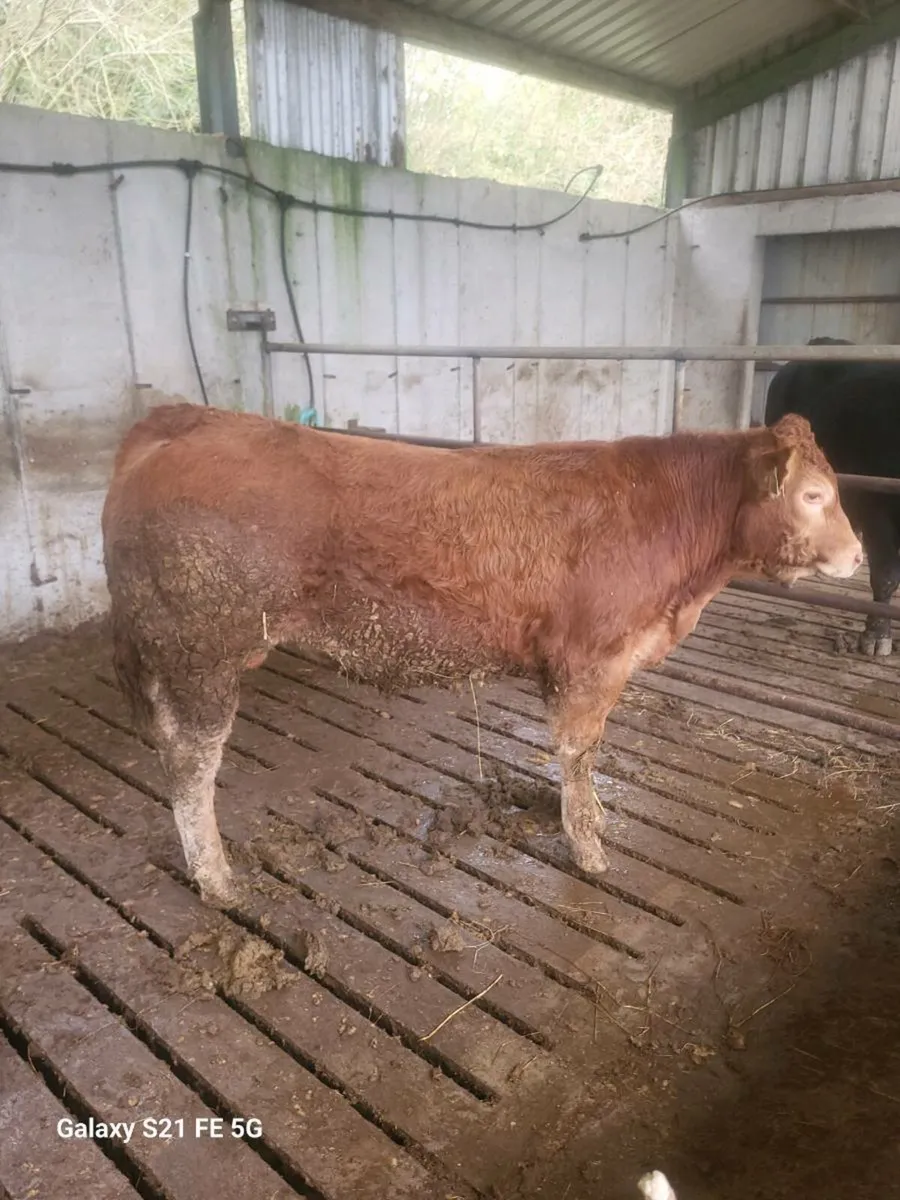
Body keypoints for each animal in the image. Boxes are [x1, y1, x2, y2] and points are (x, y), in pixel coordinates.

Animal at [102, 403, 861, 905]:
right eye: (814, 494)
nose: (857, 555)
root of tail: (184, 420)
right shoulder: (591, 663)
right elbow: (579, 756)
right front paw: (589, 847)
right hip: (202, 655)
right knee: (192, 767)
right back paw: (217, 880)